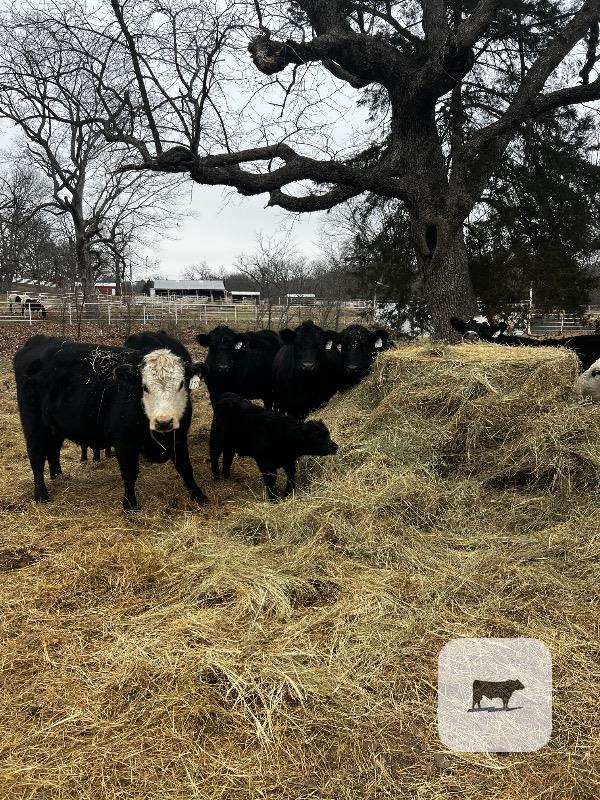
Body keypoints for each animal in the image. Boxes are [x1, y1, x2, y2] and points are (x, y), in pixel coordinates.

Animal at [14, 335, 208, 511]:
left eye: (181, 384)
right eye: (145, 387)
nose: (164, 422)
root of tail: (37, 341)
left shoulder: (179, 436)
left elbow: (185, 467)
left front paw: (198, 495)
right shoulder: (123, 440)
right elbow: (130, 472)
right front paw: (130, 504)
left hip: (54, 426)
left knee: (53, 450)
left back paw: (58, 476)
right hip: (34, 425)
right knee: (36, 456)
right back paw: (41, 494)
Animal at [209, 392, 338, 500]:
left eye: (328, 434)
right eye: (317, 437)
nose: (335, 447)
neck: (283, 434)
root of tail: (227, 396)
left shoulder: (288, 461)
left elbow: (291, 475)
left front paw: (288, 492)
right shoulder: (265, 462)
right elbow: (271, 479)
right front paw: (274, 498)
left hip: (230, 444)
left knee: (227, 458)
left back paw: (226, 476)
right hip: (216, 439)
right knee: (214, 456)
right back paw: (216, 477)